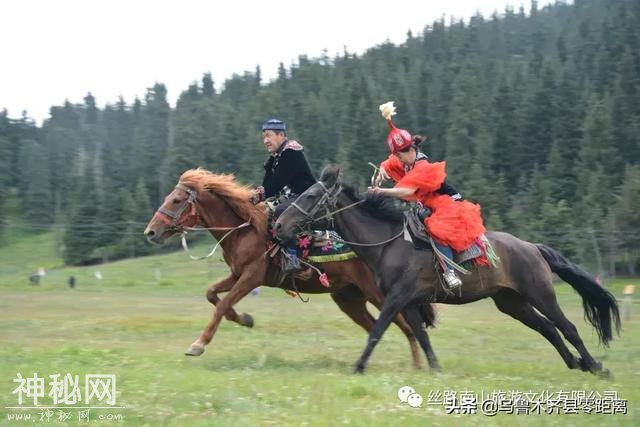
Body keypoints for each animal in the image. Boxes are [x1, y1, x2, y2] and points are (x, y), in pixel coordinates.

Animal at [142, 169, 438, 370]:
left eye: (176, 200)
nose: (151, 232)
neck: (246, 229)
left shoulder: (251, 277)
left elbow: (223, 303)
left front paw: (198, 345)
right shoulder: (237, 275)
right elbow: (212, 295)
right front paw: (246, 319)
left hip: (379, 294)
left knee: (405, 326)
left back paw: (417, 365)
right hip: (348, 299)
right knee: (377, 325)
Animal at [276, 166, 620, 376]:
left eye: (309, 195)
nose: (278, 226)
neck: (388, 244)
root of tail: (532, 247)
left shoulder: (396, 298)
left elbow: (377, 330)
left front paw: (358, 367)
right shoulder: (409, 302)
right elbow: (421, 336)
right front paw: (435, 369)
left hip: (541, 293)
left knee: (567, 328)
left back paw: (596, 366)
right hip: (512, 302)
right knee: (547, 328)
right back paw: (575, 363)